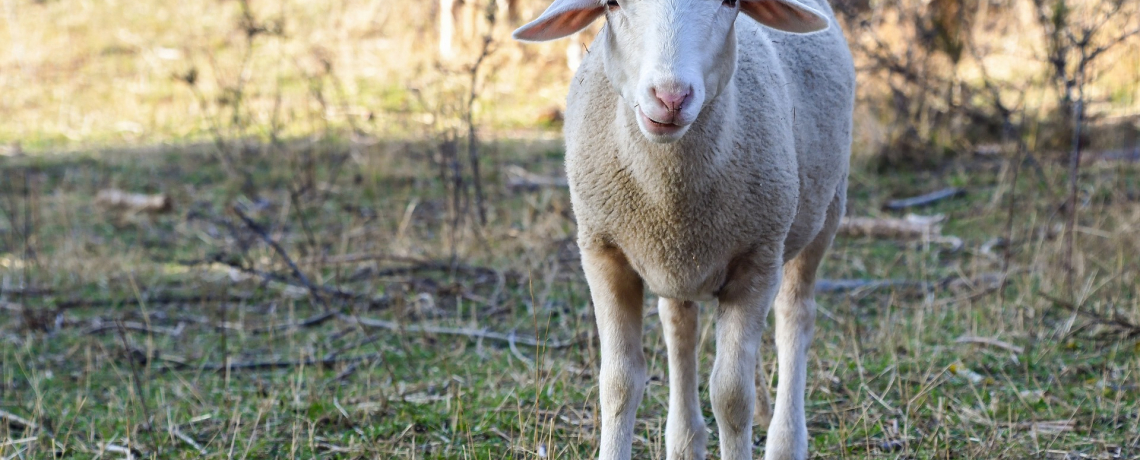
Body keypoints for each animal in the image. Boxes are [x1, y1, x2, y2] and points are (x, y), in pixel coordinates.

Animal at [513, 1, 852, 457]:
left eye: (731, 3)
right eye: (612, 5)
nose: (670, 97)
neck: (670, 189)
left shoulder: (758, 259)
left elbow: (731, 396)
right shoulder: (603, 252)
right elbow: (618, 383)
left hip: (825, 210)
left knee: (794, 318)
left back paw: (785, 441)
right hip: (676, 260)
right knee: (680, 327)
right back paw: (686, 441)